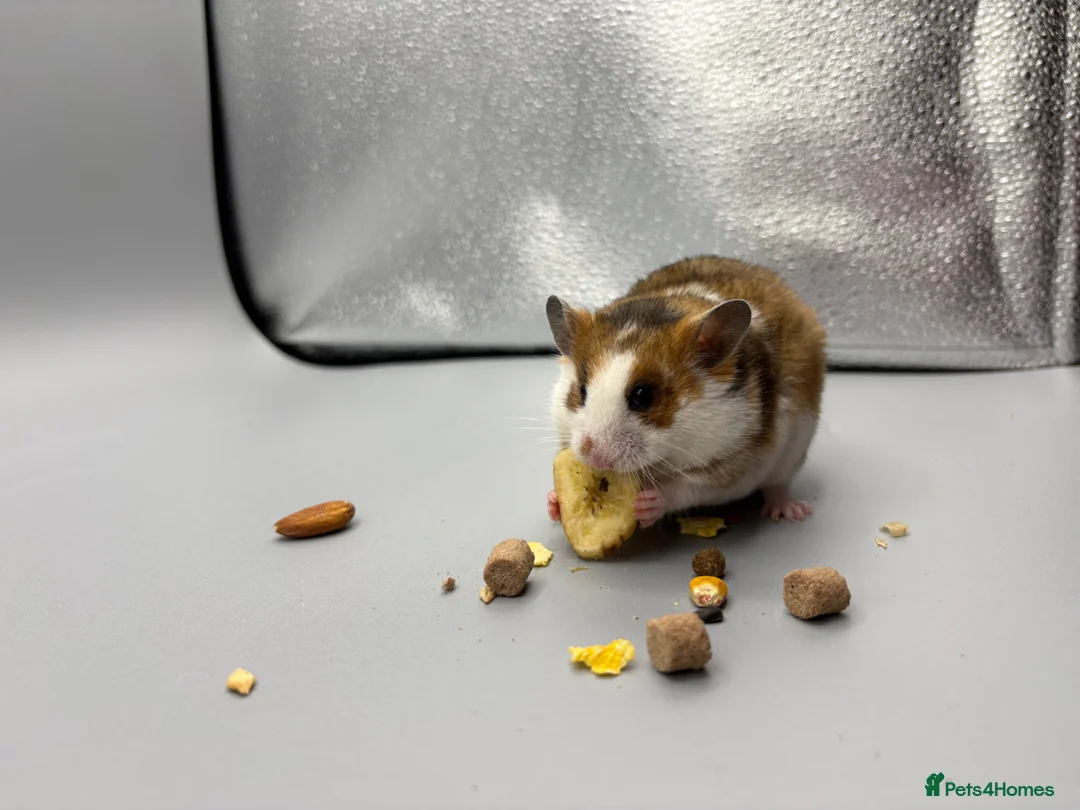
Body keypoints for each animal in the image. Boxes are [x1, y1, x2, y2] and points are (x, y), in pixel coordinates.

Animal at [544, 255, 826, 527]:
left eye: (643, 396)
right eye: (581, 390)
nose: (594, 458)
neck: (665, 456)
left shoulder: (736, 464)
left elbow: (690, 487)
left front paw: (647, 504)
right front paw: (554, 501)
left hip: (793, 451)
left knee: (778, 485)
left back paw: (792, 512)